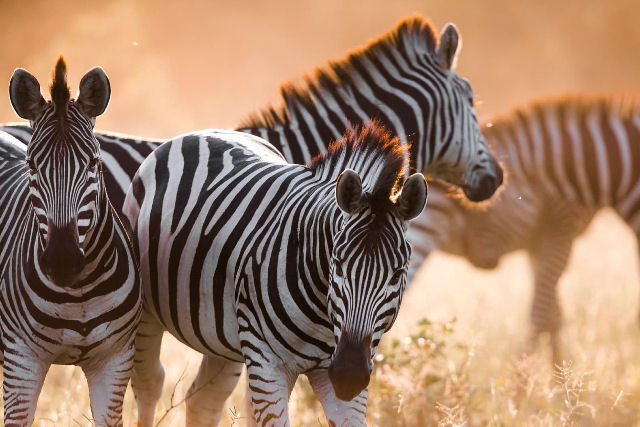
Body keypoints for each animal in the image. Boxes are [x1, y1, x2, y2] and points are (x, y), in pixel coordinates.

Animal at [0, 58, 141, 426]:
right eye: (31, 165)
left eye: (93, 163)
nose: (62, 261)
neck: (79, 294)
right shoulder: (21, 360)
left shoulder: (115, 360)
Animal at [123, 122, 427, 426]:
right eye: (338, 265)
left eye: (397, 274)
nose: (348, 376)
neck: (323, 315)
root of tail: (203, 132)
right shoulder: (267, 363)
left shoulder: (343, 363)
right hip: (146, 313)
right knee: (150, 384)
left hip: (221, 337)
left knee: (204, 400)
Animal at [406, 94, 640, 363]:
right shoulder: (560, 228)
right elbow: (541, 315)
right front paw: (522, 374)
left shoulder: (537, 243)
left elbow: (553, 316)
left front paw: (560, 374)